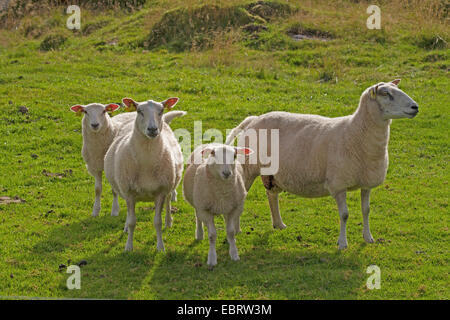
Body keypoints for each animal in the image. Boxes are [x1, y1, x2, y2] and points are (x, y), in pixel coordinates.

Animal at [103, 96, 185, 251]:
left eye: (161, 110)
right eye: (139, 111)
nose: (152, 129)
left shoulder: (160, 192)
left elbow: (157, 222)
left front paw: (160, 247)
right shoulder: (129, 193)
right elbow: (132, 221)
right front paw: (128, 246)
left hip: (170, 183)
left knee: (168, 200)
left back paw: (169, 221)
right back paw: (125, 228)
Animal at [227, 80, 420, 250]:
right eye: (386, 94)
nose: (415, 107)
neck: (356, 133)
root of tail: (253, 119)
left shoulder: (367, 183)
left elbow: (366, 210)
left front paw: (368, 237)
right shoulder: (338, 184)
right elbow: (344, 215)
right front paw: (342, 243)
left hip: (272, 174)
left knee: (271, 195)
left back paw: (279, 224)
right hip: (248, 168)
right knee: (241, 195)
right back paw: (237, 229)